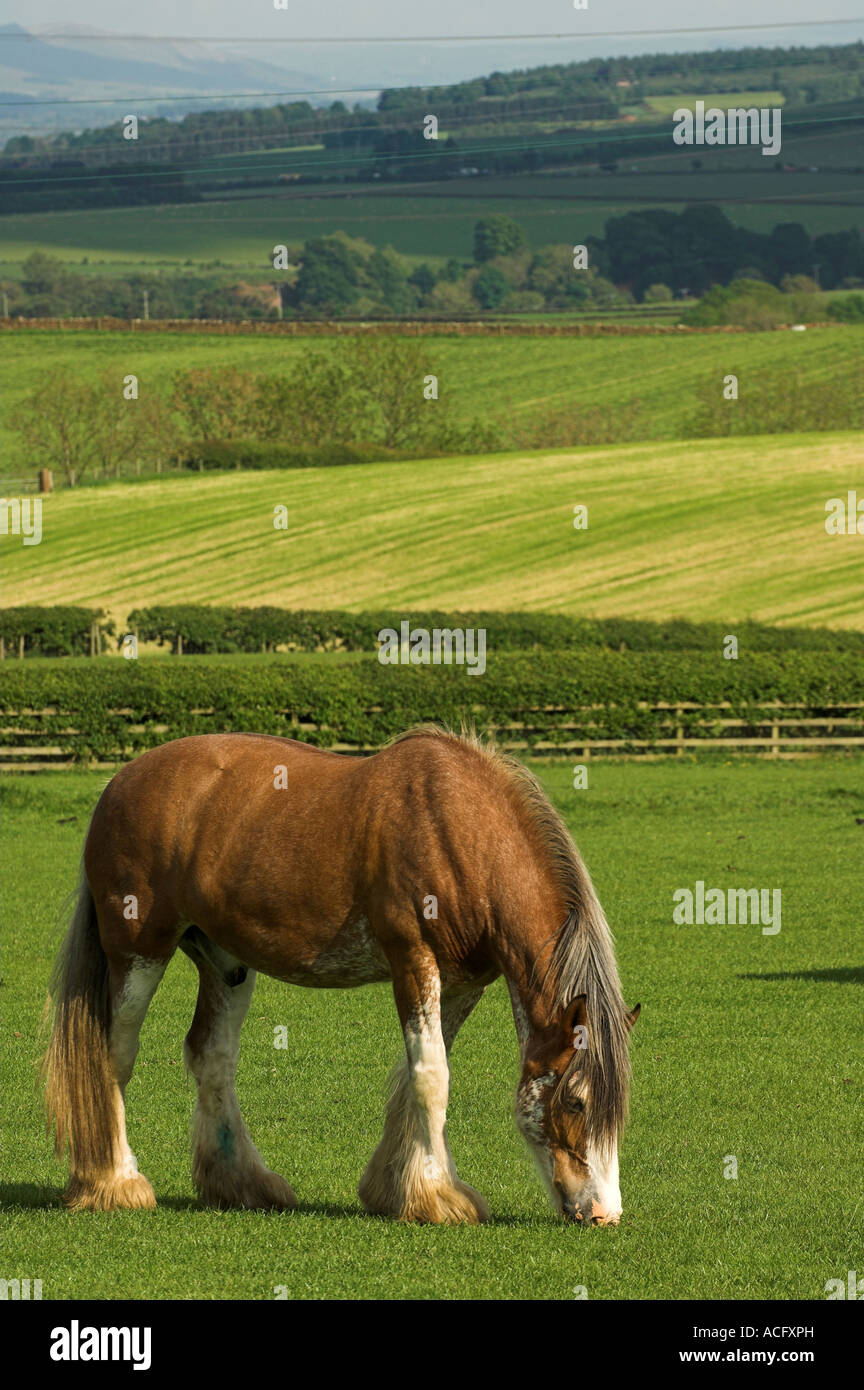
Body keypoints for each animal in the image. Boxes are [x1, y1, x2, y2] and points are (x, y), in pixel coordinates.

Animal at [44, 728, 638, 1228]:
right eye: (577, 1101)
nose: (604, 1213)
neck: (458, 833)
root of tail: (118, 784)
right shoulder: (412, 961)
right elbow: (431, 1078)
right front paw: (438, 1199)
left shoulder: (462, 984)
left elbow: (419, 1078)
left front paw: (399, 1190)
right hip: (138, 951)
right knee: (114, 1054)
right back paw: (115, 1183)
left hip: (224, 961)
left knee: (210, 1056)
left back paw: (241, 1184)